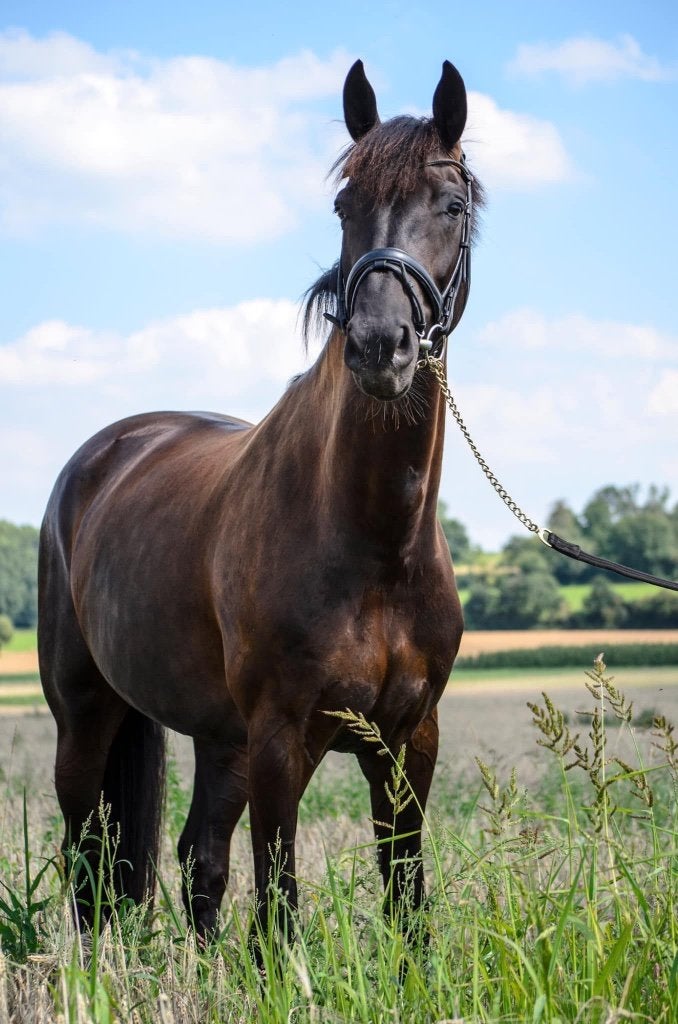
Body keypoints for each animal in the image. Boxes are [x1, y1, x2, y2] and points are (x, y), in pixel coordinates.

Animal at [38, 58, 483, 947]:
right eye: (345, 206)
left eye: (451, 206)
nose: (379, 346)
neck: (375, 543)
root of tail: (101, 455)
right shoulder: (283, 737)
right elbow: (278, 907)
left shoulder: (408, 741)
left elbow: (406, 900)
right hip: (87, 715)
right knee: (88, 857)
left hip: (221, 740)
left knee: (196, 861)